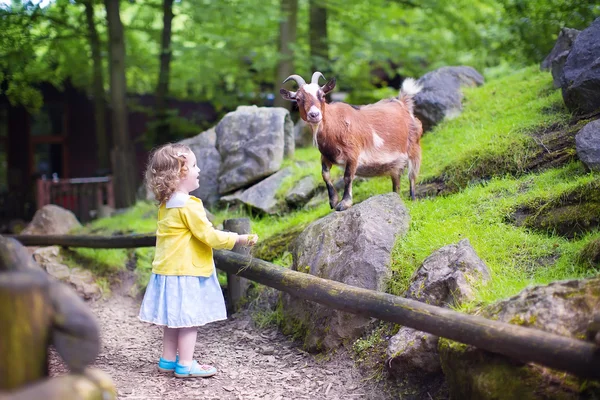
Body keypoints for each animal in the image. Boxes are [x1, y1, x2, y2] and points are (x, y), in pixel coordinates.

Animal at [280, 71, 422, 212]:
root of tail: (402, 104)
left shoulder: (353, 153)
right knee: (396, 179)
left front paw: (344, 203)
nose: (314, 115)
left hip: (414, 147)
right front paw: (333, 201)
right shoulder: (325, 156)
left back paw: (413, 199)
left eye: (322, 95)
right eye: (298, 99)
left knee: (412, 175)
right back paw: (395, 197)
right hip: (395, 163)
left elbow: (347, 176)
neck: (336, 124)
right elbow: (325, 175)